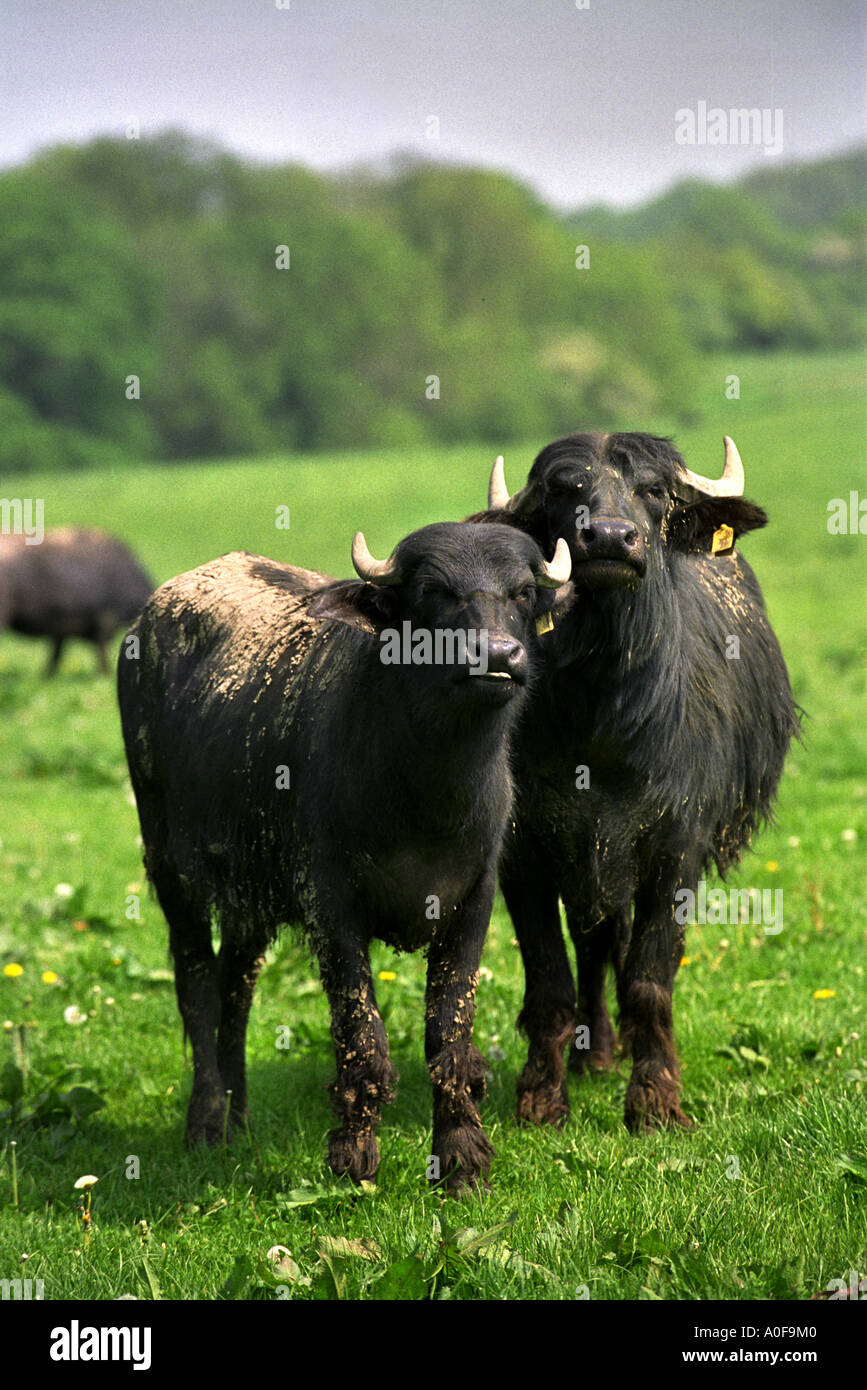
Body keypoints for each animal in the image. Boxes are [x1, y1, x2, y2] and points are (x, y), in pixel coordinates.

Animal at [118, 522, 572, 1195]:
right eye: (433, 590)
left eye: (520, 591)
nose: (497, 655)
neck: (425, 791)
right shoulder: (330, 904)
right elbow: (362, 1034)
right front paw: (353, 1158)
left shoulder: (475, 900)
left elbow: (449, 1032)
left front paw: (463, 1161)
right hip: (172, 865)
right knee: (196, 984)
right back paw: (204, 1124)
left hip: (250, 892)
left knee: (236, 986)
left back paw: (238, 1118)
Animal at [475, 433, 800, 1128]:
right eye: (564, 488)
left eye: (653, 490)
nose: (607, 537)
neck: (604, 716)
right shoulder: (529, 850)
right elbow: (550, 978)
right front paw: (541, 1096)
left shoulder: (675, 849)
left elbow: (652, 977)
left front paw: (655, 1099)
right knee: (594, 942)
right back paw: (593, 1051)